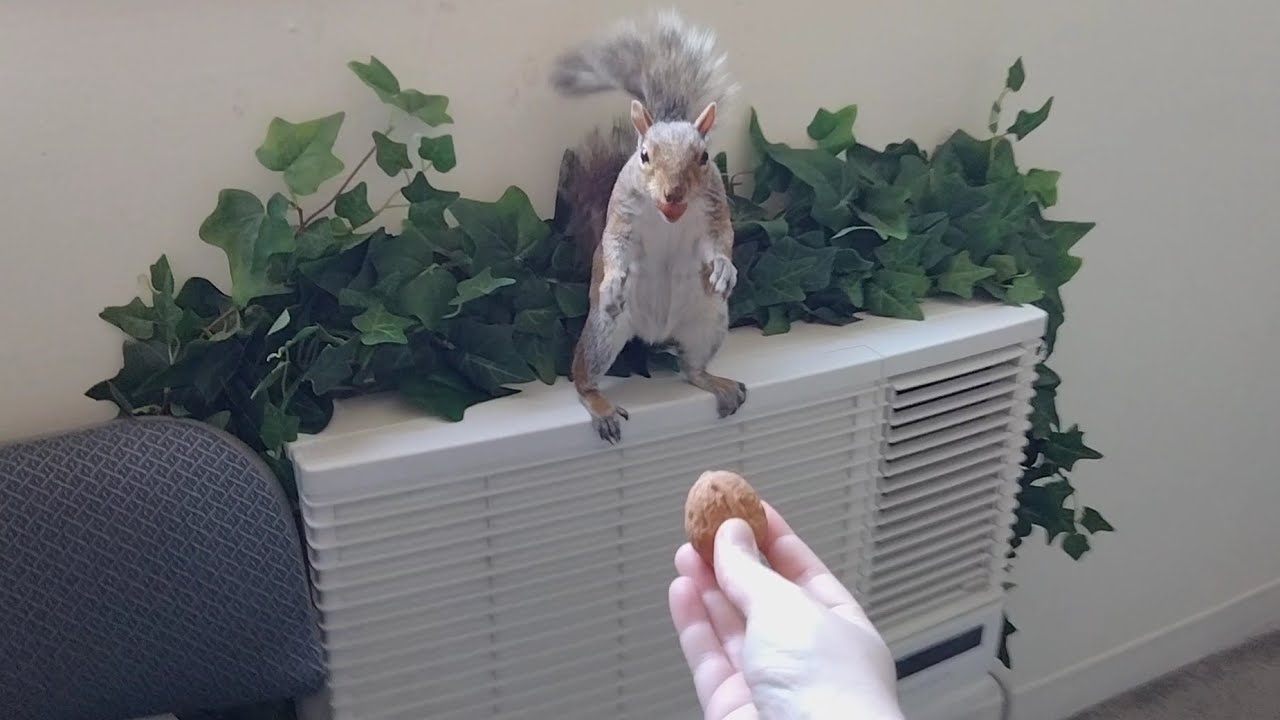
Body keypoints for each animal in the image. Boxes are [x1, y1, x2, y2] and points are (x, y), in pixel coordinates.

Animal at [550, 10, 747, 444]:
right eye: (643, 155)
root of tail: (655, 332)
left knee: (691, 368)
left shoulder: (715, 210)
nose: (673, 194)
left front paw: (724, 271)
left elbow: (721, 241)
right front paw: (613, 281)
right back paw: (600, 405)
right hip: (604, 332)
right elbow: (615, 246)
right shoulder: (620, 215)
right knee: (582, 376)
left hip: (707, 323)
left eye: (704, 156)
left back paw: (716, 383)